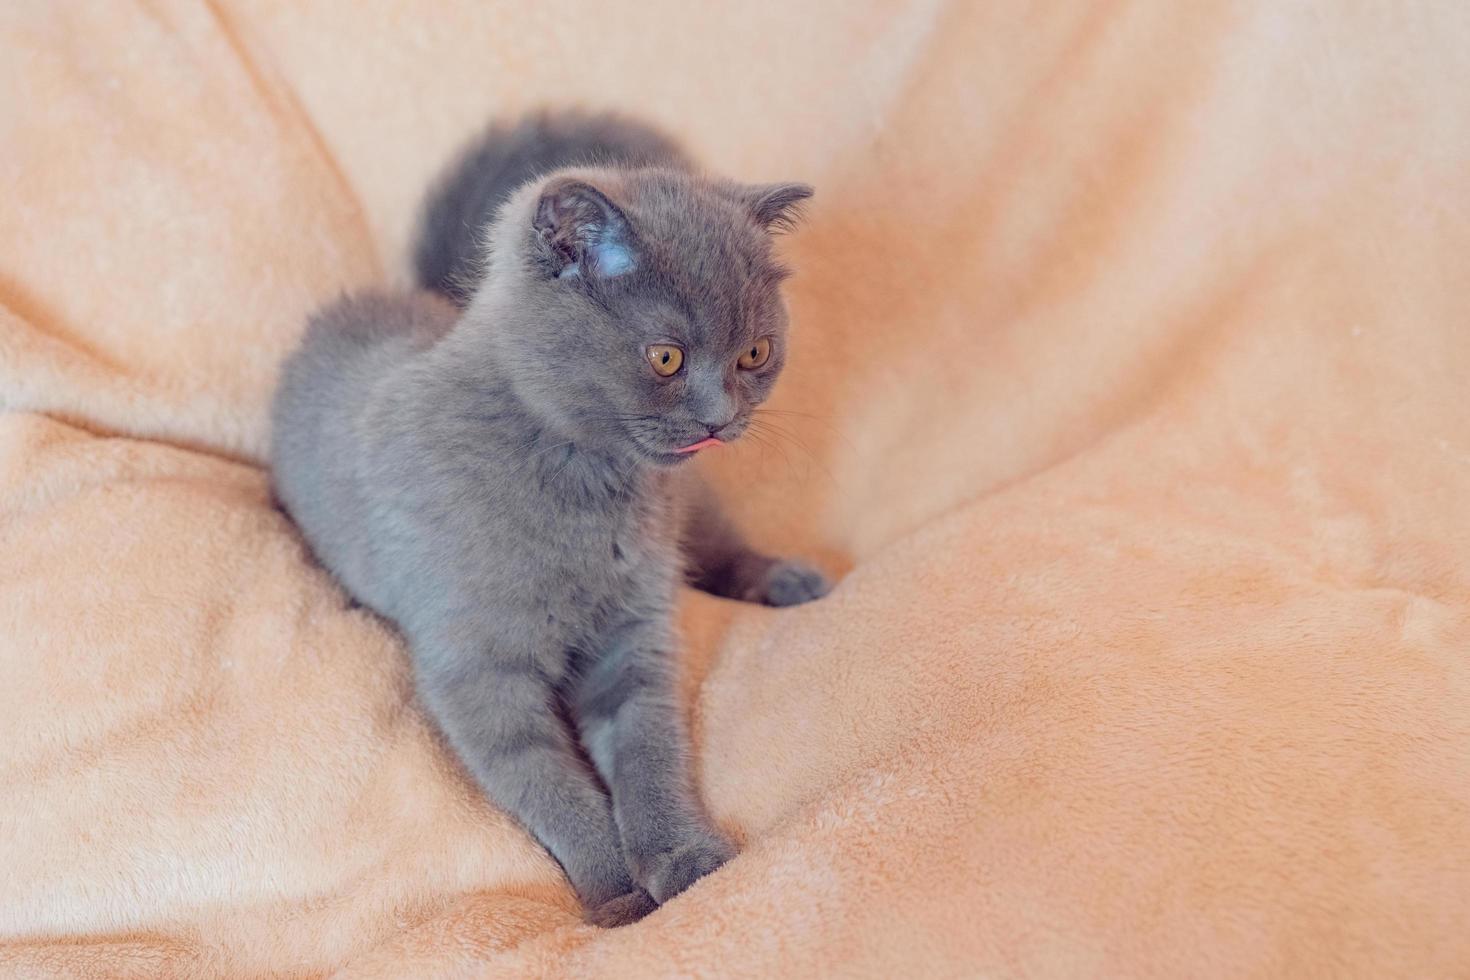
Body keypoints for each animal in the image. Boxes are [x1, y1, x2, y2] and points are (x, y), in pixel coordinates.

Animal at [270, 113, 834, 928]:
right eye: (666, 357)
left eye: (755, 353)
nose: (720, 418)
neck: (585, 486)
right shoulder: (479, 670)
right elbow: (550, 783)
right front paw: (619, 893)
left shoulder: (635, 639)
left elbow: (650, 756)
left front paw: (684, 860)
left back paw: (789, 580)